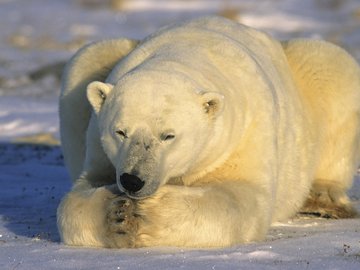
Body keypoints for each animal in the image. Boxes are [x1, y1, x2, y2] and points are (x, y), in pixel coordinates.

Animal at [57, 16, 360, 249]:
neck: (184, 52)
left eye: (168, 135)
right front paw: (116, 214)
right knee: (85, 61)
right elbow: (80, 194)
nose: (133, 180)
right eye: (120, 132)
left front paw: (145, 213)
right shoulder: (101, 148)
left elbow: (242, 197)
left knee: (332, 68)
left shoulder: (245, 130)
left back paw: (324, 197)